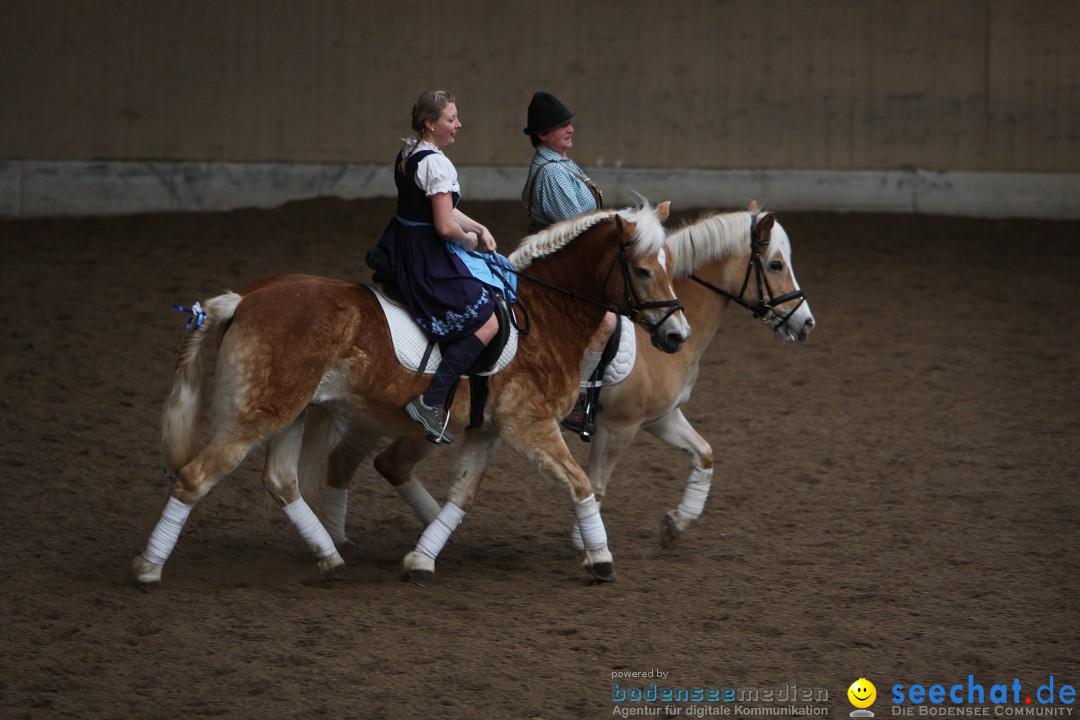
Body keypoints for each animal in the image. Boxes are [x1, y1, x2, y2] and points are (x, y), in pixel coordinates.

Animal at [130, 201, 686, 587]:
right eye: (642, 270)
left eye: (670, 264)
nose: (677, 335)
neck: (548, 314)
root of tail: (244, 299)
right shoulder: (530, 424)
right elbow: (580, 483)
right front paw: (601, 559)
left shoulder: (490, 429)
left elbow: (462, 495)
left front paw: (421, 558)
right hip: (257, 414)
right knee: (195, 477)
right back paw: (149, 569)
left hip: (290, 411)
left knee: (282, 481)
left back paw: (330, 558)